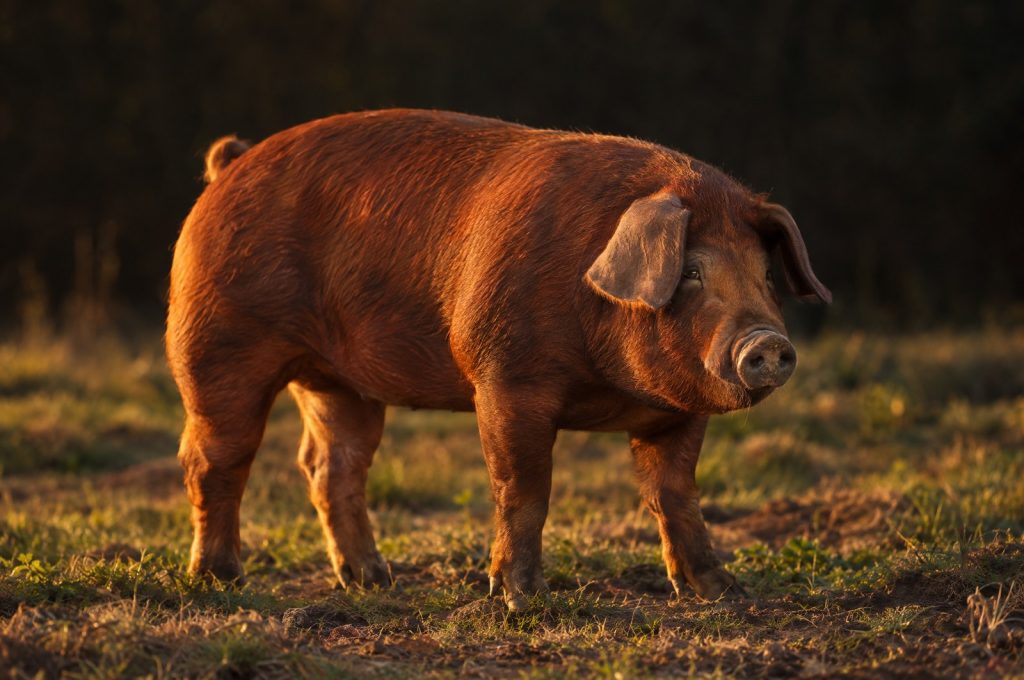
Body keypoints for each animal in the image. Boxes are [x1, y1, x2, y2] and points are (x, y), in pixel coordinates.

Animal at [167, 109, 830, 611]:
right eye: (691, 272)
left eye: (766, 276)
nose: (767, 343)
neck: (608, 385)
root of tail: (230, 165)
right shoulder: (507, 379)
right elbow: (525, 490)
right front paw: (521, 601)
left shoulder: (678, 414)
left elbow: (676, 495)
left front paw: (722, 593)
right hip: (216, 344)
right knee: (215, 459)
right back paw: (221, 581)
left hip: (340, 384)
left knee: (331, 465)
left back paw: (373, 582)